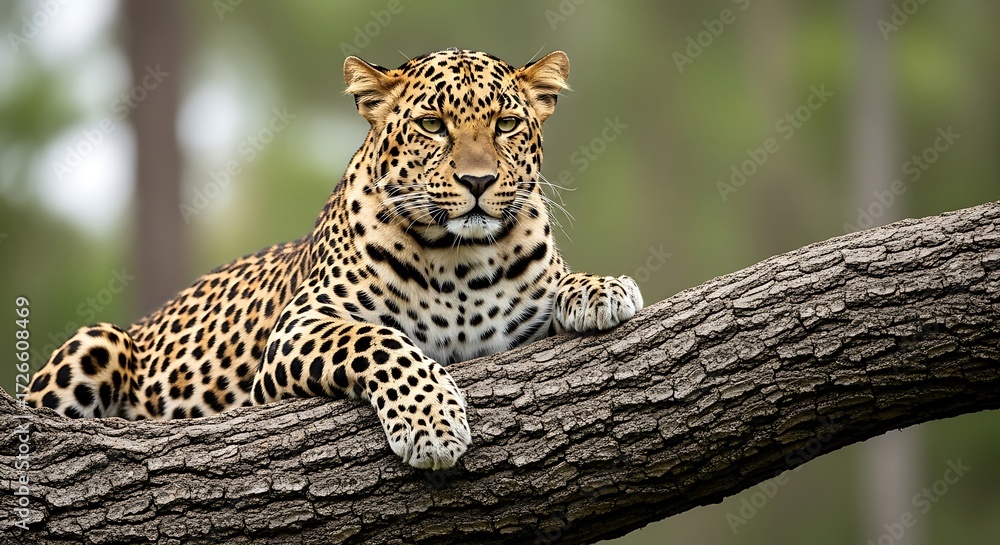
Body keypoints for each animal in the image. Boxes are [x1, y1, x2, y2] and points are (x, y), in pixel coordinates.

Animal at [25, 48, 644, 470]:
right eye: (432, 125)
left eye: (507, 124)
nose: (477, 181)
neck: (460, 259)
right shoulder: (298, 329)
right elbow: (381, 342)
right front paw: (432, 425)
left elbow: (560, 283)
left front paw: (601, 288)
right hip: (97, 343)